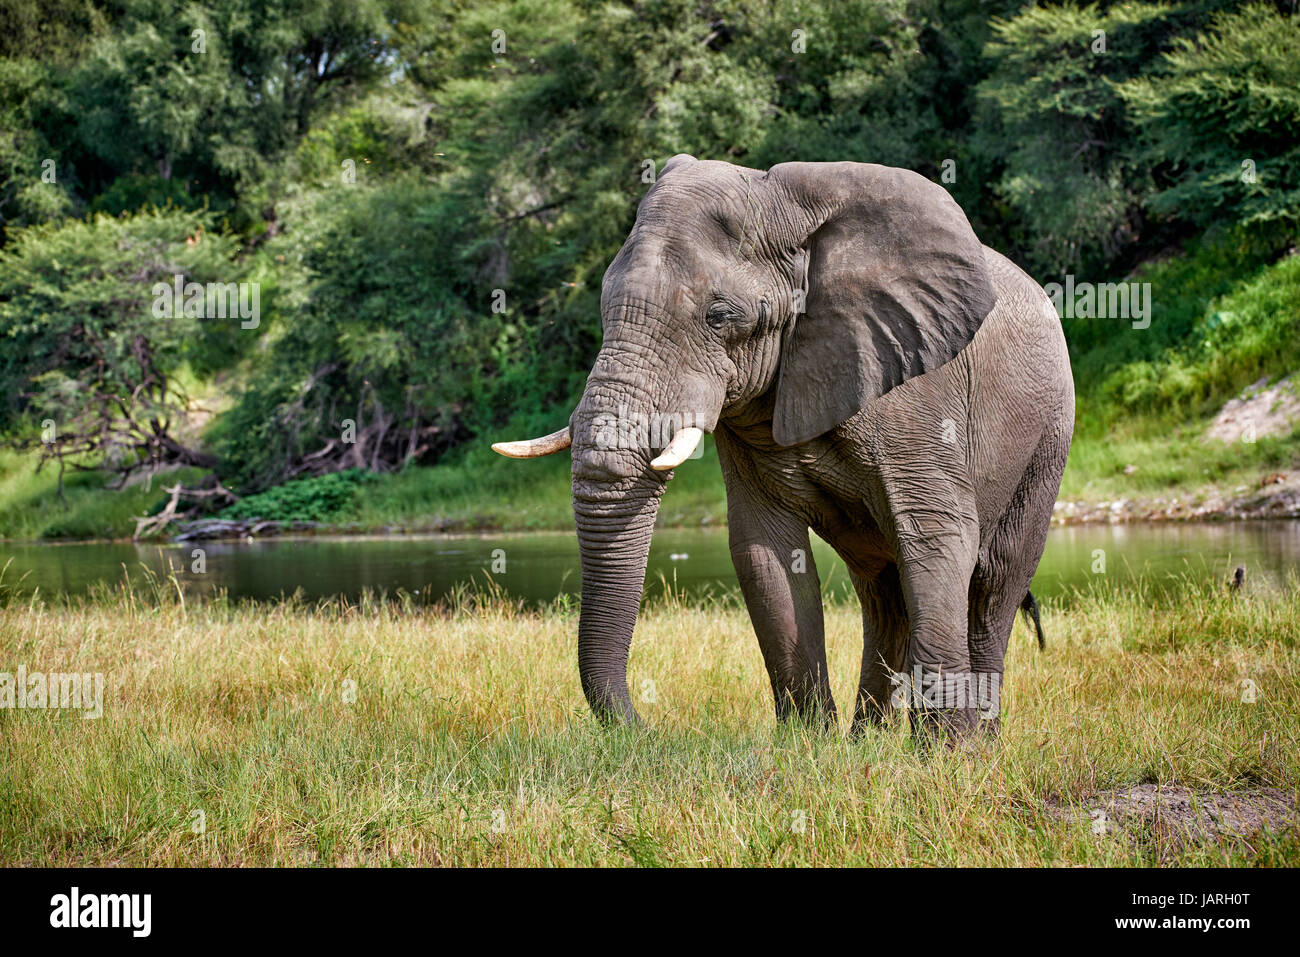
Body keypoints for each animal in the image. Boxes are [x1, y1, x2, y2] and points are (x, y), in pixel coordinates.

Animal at [491, 157, 1071, 738]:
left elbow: (935, 535)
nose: (646, 726)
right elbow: (764, 550)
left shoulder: (919, 392)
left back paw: (980, 743)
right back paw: (870, 742)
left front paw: (947, 755)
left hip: (1048, 437)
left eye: (719, 316)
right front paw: (809, 744)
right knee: (885, 592)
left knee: (993, 586)